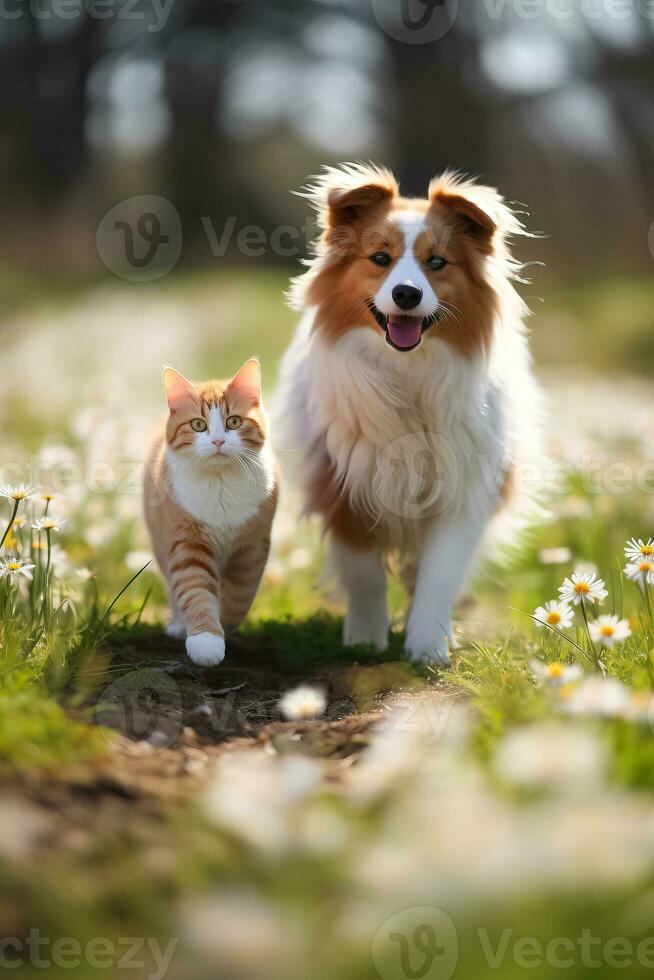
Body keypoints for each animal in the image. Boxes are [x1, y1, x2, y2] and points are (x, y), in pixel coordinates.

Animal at [145, 360, 278, 668]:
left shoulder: (252, 550)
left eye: (234, 422)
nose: (218, 441)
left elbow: (239, 597)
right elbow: (196, 592)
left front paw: (224, 623)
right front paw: (206, 640)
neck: (220, 483)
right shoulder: (187, 545)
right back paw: (179, 625)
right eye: (198, 425)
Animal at [280, 163, 544, 668]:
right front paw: (365, 640)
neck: (407, 373)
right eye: (380, 258)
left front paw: (428, 646)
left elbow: (439, 573)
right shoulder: (342, 481)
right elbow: (363, 571)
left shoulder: (464, 488)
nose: (405, 293)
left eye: (436, 262)